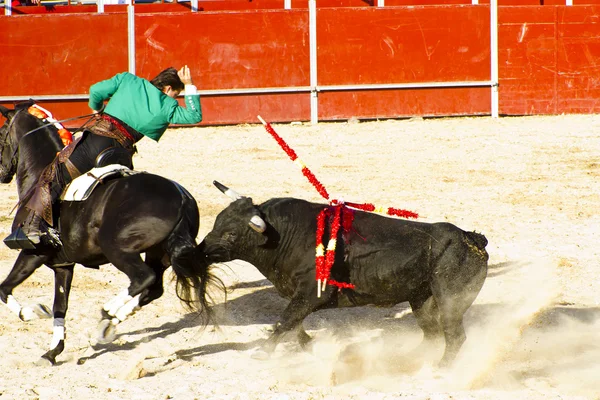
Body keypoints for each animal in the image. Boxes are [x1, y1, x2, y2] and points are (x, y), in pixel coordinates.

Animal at [0, 105, 218, 366]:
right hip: (159, 253)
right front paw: (52, 352)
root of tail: (181, 197)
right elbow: (60, 307)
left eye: (1, 133)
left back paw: (108, 313)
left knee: (143, 278)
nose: (1, 173)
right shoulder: (63, 266)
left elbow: (4, 289)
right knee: (154, 287)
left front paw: (32, 312)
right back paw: (108, 324)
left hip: (117, 249)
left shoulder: (31, 253)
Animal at [199, 183, 490, 368]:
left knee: (454, 335)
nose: (200, 251)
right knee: (431, 334)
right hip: (421, 300)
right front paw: (309, 345)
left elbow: (286, 320)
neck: (284, 236)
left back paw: (442, 367)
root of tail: (470, 239)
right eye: (216, 222)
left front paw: (263, 352)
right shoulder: (300, 296)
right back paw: (408, 358)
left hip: (451, 300)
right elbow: (293, 323)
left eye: (231, 234)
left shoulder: (311, 293)